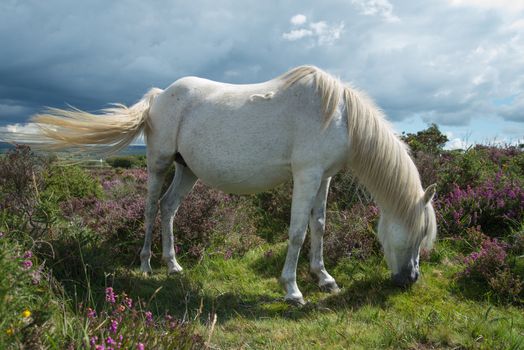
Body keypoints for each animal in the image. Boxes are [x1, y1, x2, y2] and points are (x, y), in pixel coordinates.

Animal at [15, 66, 438, 306]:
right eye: (417, 234)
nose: (410, 280)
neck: (337, 113)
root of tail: (159, 96)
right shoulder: (306, 175)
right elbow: (297, 232)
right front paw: (293, 290)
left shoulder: (324, 177)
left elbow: (319, 227)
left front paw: (325, 278)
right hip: (159, 164)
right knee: (150, 208)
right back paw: (147, 265)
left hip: (187, 171)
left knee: (169, 209)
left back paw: (173, 265)